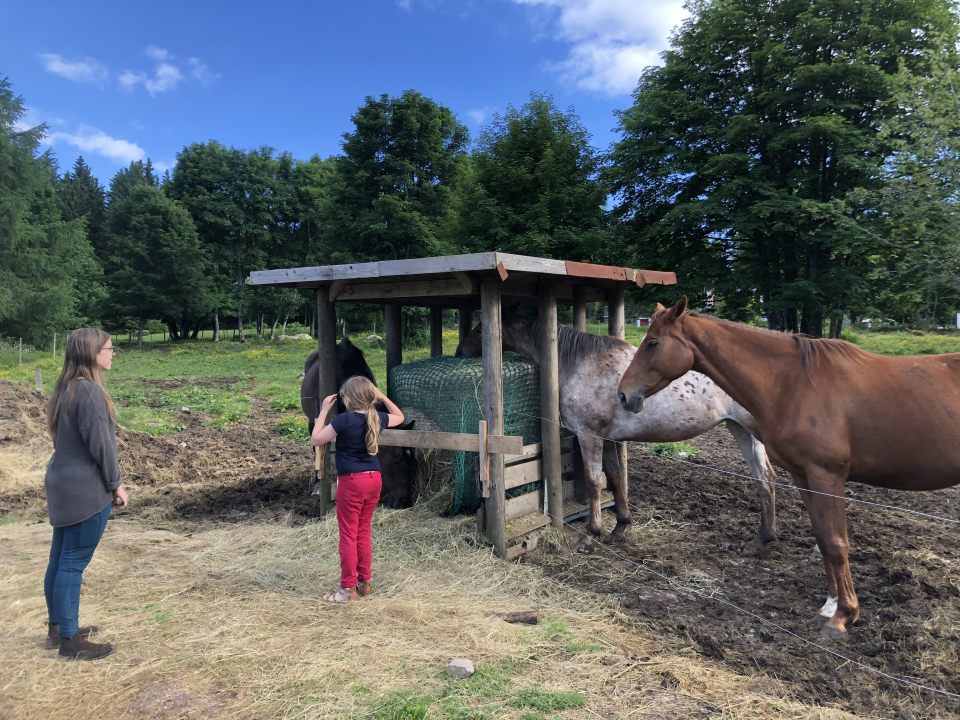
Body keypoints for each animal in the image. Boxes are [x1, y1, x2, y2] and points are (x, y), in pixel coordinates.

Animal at [455, 312, 777, 553]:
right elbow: (616, 477)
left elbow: (595, 482)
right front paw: (620, 528)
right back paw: (761, 540)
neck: (579, 363)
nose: (459, 352)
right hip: (741, 431)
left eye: (480, 327)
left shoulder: (589, 435)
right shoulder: (608, 439)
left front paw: (590, 535)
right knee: (764, 478)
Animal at [617, 297, 960, 639]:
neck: (794, 384)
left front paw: (842, 616)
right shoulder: (803, 475)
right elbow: (822, 537)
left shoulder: (827, 477)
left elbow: (836, 544)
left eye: (653, 343)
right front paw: (830, 607)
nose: (623, 394)